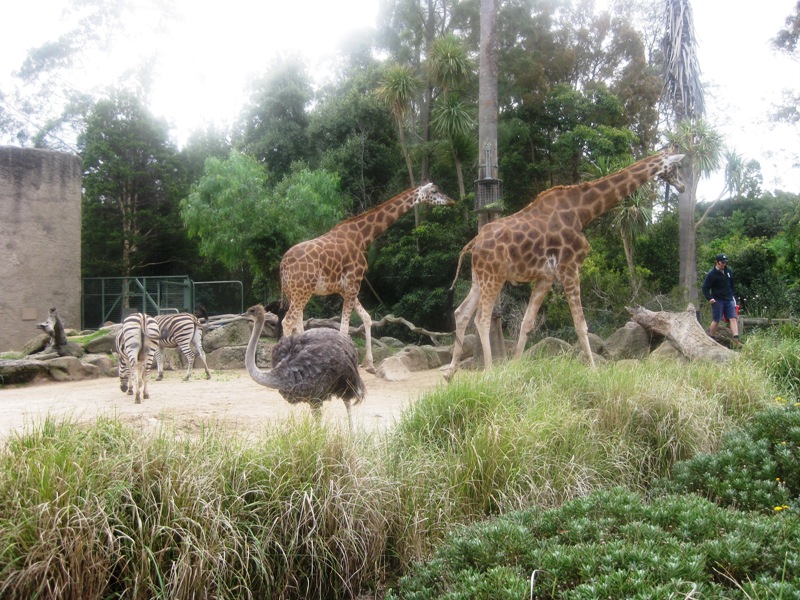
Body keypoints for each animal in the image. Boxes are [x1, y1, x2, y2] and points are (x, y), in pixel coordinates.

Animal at [282, 180, 456, 372]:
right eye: (434, 191)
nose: (451, 200)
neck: (361, 237)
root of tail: (283, 264)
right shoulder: (354, 282)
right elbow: (344, 329)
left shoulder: (346, 288)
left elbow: (367, 318)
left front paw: (370, 363)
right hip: (302, 291)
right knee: (287, 322)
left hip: (294, 293)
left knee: (297, 325)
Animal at [440, 149, 684, 380]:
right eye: (676, 166)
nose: (682, 186)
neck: (582, 212)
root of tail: (474, 243)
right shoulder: (570, 267)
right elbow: (580, 324)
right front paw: (594, 371)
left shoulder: (545, 277)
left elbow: (527, 323)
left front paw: (514, 368)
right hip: (493, 276)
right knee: (481, 319)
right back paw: (489, 372)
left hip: (479, 277)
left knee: (461, 312)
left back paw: (451, 372)